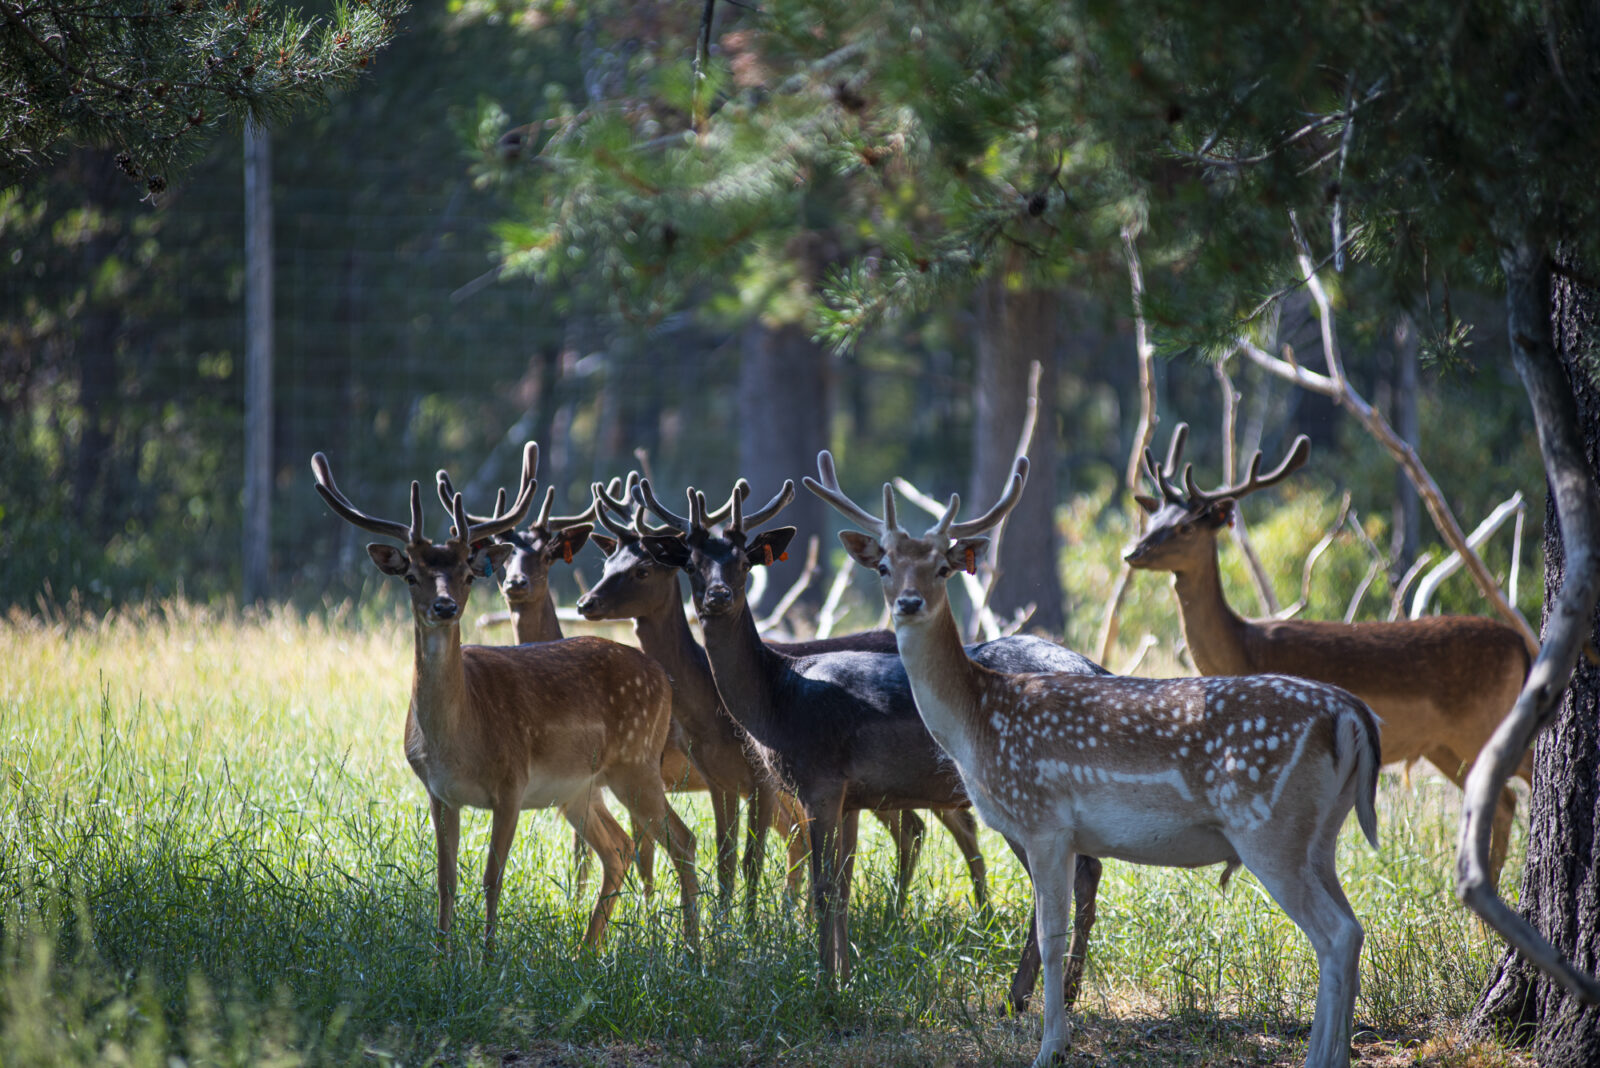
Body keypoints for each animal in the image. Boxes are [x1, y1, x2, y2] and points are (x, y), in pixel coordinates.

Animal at [309, 444, 699, 953]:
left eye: (466, 574)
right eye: (411, 575)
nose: (444, 607)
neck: (457, 739)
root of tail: (663, 677)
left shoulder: (511, 783)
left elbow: (492, 878)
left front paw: (489, 957)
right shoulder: (439, 793)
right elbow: (446, 880)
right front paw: (441, 956)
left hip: (635, 763)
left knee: (682, 841)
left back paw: (695, 951)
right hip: (580, 789)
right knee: (619, 847)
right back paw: (586, 952)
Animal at [576, 477, 991, 923]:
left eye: (643, 569)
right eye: (606, 566)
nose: (586, 603)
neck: (708, 710)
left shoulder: (760, 777)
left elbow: (751, 859)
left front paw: (751, 926)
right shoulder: (717, 779)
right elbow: (725, 858)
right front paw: (726, 923)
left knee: (954, 824)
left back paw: (966, 912)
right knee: (918, 828)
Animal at [631, 473, 1110, 1011]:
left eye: (742, 561)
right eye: (691, 563)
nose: (716, 596)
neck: (779, 700)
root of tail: (1095, 669)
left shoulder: (820, 780)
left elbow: (822, 887)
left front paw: (823, 988)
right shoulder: (848, 797)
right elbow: (841, 887)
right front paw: (843, 979)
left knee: (1062, 877)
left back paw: (1021, 994)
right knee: (1086, 868)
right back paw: (1063, 990)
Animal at [807, 450, 1381, 1068]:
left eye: (941, 567)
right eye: (884, 566)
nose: (909, 603)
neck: (976, 720)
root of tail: (1352, 713)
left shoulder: (1044, 820)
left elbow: (1050, 936)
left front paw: (1050, 1047)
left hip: (1269, 829)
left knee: (1335, 934)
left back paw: (1320, 1057)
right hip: (1319, 834)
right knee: (1353, 927)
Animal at [1124, 424, 1532, 886]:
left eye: (1186, 528)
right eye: (1153, 518)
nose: (1132, 552)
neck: (1244, 649)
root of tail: (1519, 643)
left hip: (1480, 723)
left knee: (1511, 792)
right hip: (1444, 744)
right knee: (1501, 797)